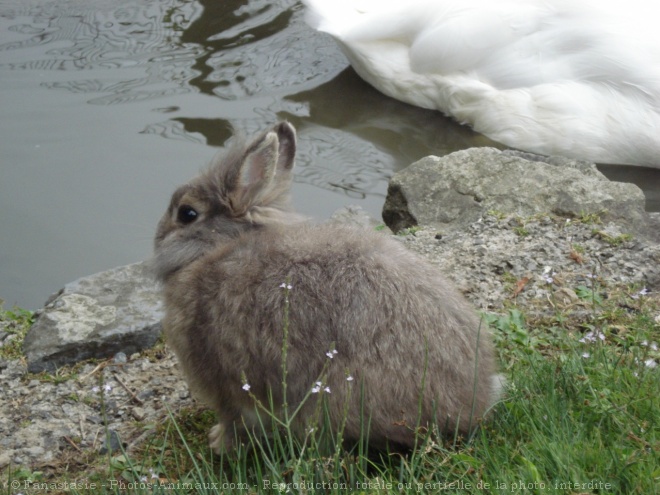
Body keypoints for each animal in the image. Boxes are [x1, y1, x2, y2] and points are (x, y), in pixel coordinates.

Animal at [152, 121, 500, 454]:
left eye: (187, 213)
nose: (157, 236)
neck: (218, 246)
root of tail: (474, 403)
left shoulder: (226, 385)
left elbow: (233, 420)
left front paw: (218, 445)